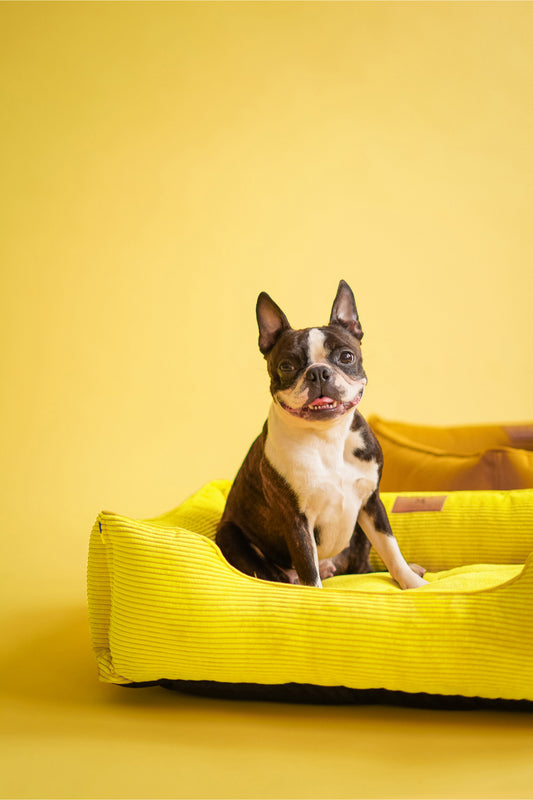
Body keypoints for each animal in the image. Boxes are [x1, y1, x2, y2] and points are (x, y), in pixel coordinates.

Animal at [214, 280, 426, 588]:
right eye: (287, 366)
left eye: (346, 357)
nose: (319, 373)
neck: (329, 437)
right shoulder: (296, 519)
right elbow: (308, 570)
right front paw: (314, 595)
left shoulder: (371, 503)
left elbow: (390, 548)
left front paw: (412, 583)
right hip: (230, 535)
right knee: (278, 574)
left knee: (361, 567)